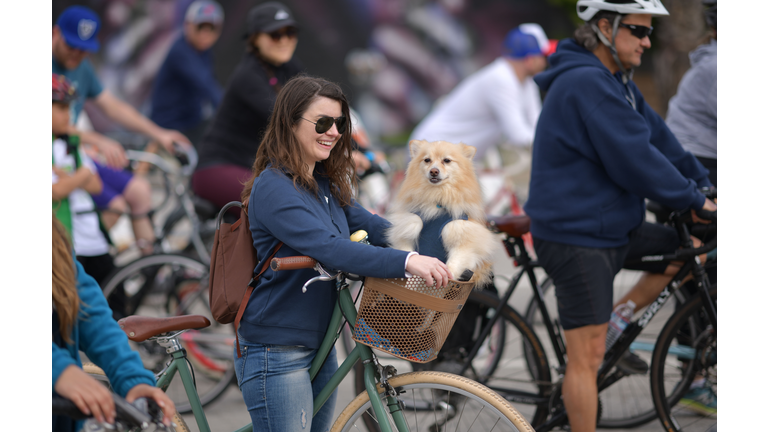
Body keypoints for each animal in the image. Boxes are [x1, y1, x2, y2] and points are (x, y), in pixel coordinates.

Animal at [384, 139, 498, 286]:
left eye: (447, 160)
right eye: (427, 160)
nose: (434, 171)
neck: (437, 195)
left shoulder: (463, 239)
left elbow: (454, 263)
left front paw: (446, 279)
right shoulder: (406, 231)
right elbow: (408, 253)